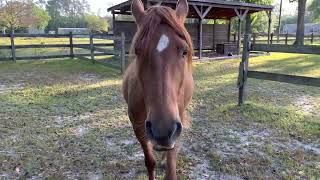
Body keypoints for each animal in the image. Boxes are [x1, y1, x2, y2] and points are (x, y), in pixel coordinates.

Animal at [122, 0, 192, 179]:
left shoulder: (178, 126)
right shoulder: (138, 127)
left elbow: (171, 169)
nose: (162, 130)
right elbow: (149, 162)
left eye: (184, 51)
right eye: (138, 51)